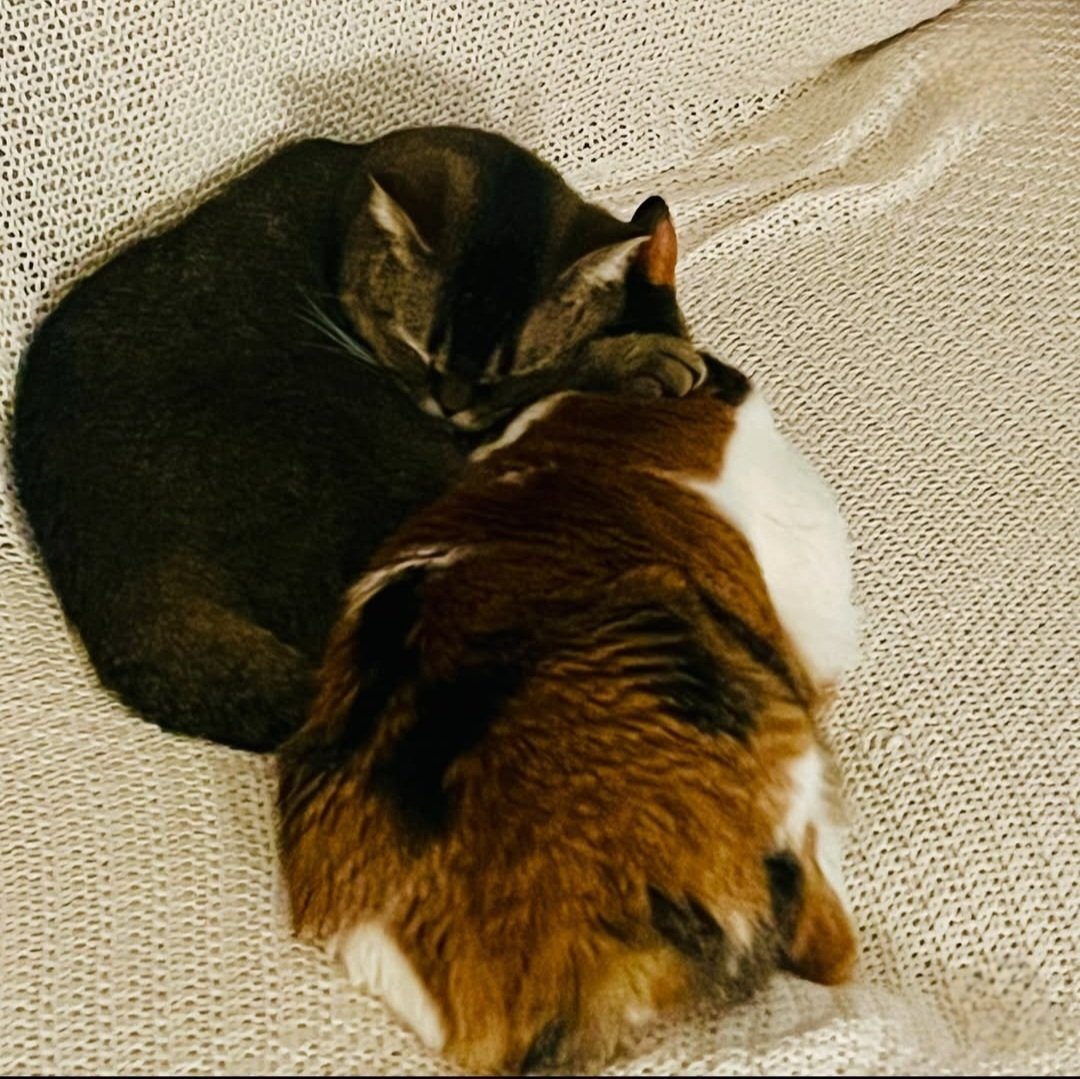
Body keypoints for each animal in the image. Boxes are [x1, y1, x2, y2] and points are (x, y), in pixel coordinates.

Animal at [10, 125, 706, 752]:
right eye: (414, 348)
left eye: (503, 373)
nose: (450, 404)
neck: (347, 195)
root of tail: (132, 589)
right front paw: (640, 359)